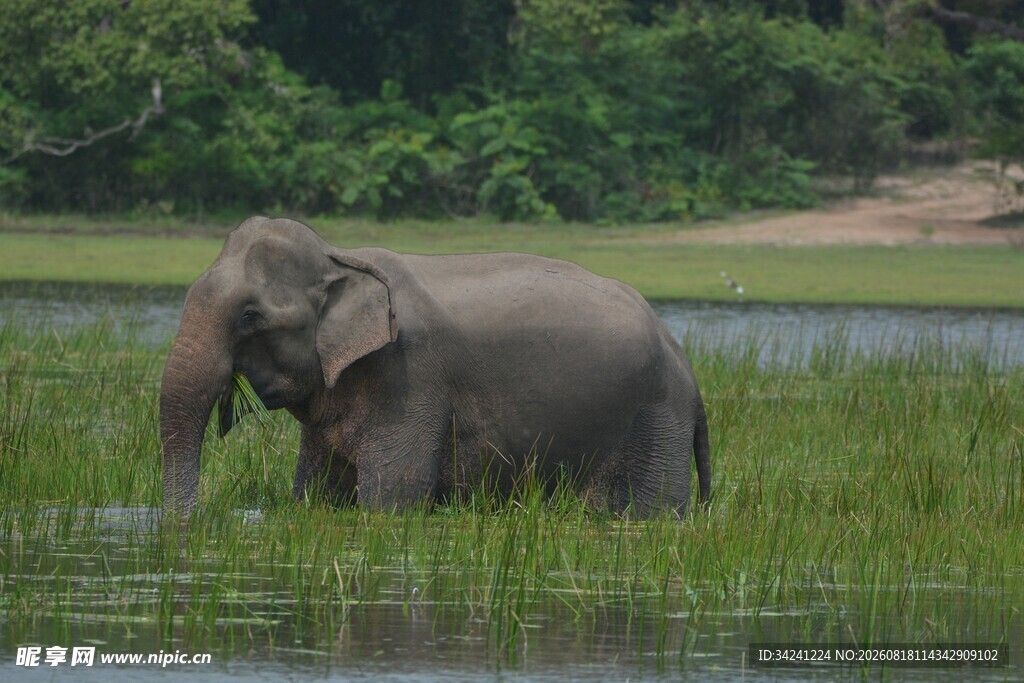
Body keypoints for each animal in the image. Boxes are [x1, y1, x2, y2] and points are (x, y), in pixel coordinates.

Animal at [160, 217, 711, 518]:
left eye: (250, 316)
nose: (190, 522)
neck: (343, 257)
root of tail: (684, 360)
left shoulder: (407, 377)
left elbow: (392, 500)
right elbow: (316, 495)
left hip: (655, 424)